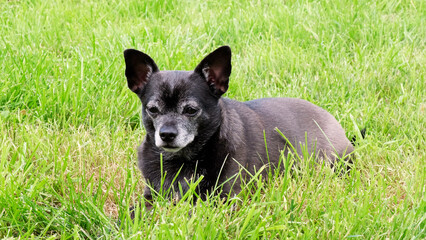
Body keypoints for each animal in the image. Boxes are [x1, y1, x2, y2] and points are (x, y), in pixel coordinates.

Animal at [122, 46, 352, 209]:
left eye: (190, 110)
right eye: (153, 109)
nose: (166, 134)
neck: (182, 159)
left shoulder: (224, 199)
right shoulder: (151, 195)